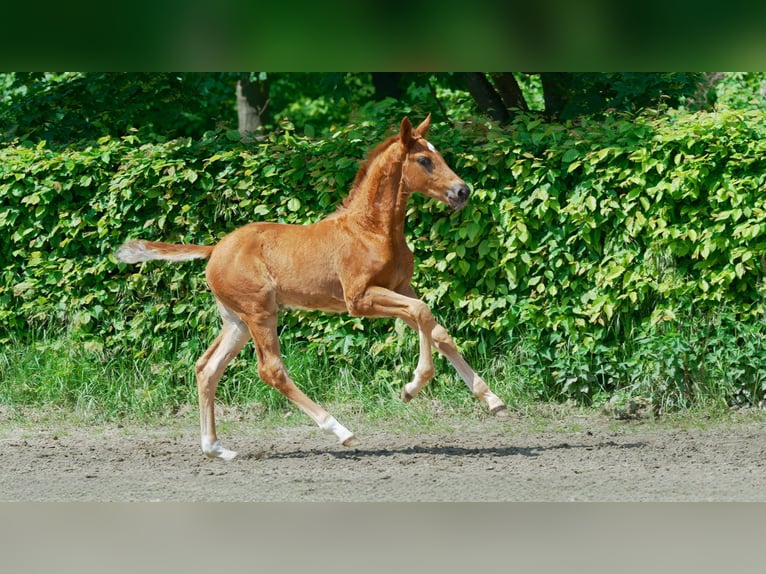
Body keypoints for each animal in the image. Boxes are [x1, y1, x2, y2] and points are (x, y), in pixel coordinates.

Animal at [115, 115, 510, 462]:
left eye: (438, 154)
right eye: (425, 159)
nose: (462, 190)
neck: (371, 230)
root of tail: (215, 249)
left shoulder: (401, 287)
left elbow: (437, 329)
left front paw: (492, 400)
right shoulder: (359, 299)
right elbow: (423, 313)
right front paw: (411, 387)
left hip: (237, 321)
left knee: (206, 368)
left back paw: (216, 449)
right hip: (260, 312)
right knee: (270, 370)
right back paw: (339, 430)